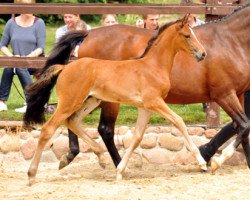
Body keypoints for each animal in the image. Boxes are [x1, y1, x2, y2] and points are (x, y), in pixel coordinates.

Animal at [23, 16, 207, 185]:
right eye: (187, 35)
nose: (203, 53)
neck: (153, 66)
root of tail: (65, 67)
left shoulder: (145, 107)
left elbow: (137, 137)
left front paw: (120, 171)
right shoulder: (155, 102)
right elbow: (179, 121)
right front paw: (202, 163)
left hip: (91, 101)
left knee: (72, 122)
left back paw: (101, 157)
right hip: (70, 102)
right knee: (48, 129)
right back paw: (31, 175)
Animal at [51, 3, 249, 172]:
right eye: (187, 36)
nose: (202, 54)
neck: (230, 42)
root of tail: (87, 35)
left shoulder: (239, 94)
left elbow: (240, 127)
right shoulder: (224, 94)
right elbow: (244, 125)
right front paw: (214, 160)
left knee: (72, 118)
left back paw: (74, 155)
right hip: (107, 99)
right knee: (104, 129)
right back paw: (114, 163)